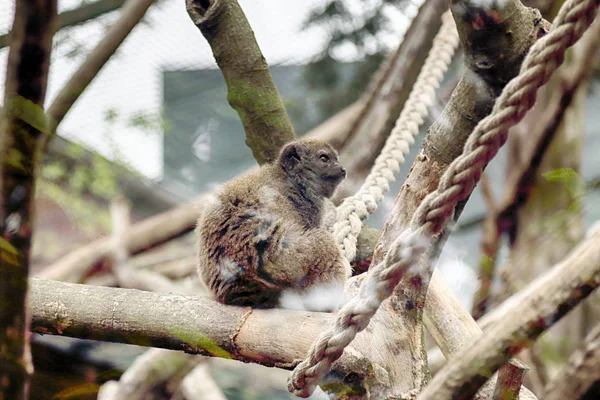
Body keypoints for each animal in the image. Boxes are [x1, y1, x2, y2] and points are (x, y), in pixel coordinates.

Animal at [195, 139, 350, 310]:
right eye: (324, 158)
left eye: (336, 159)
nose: (342, 169)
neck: (292, 180)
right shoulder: (308, 206)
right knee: (323, 242)